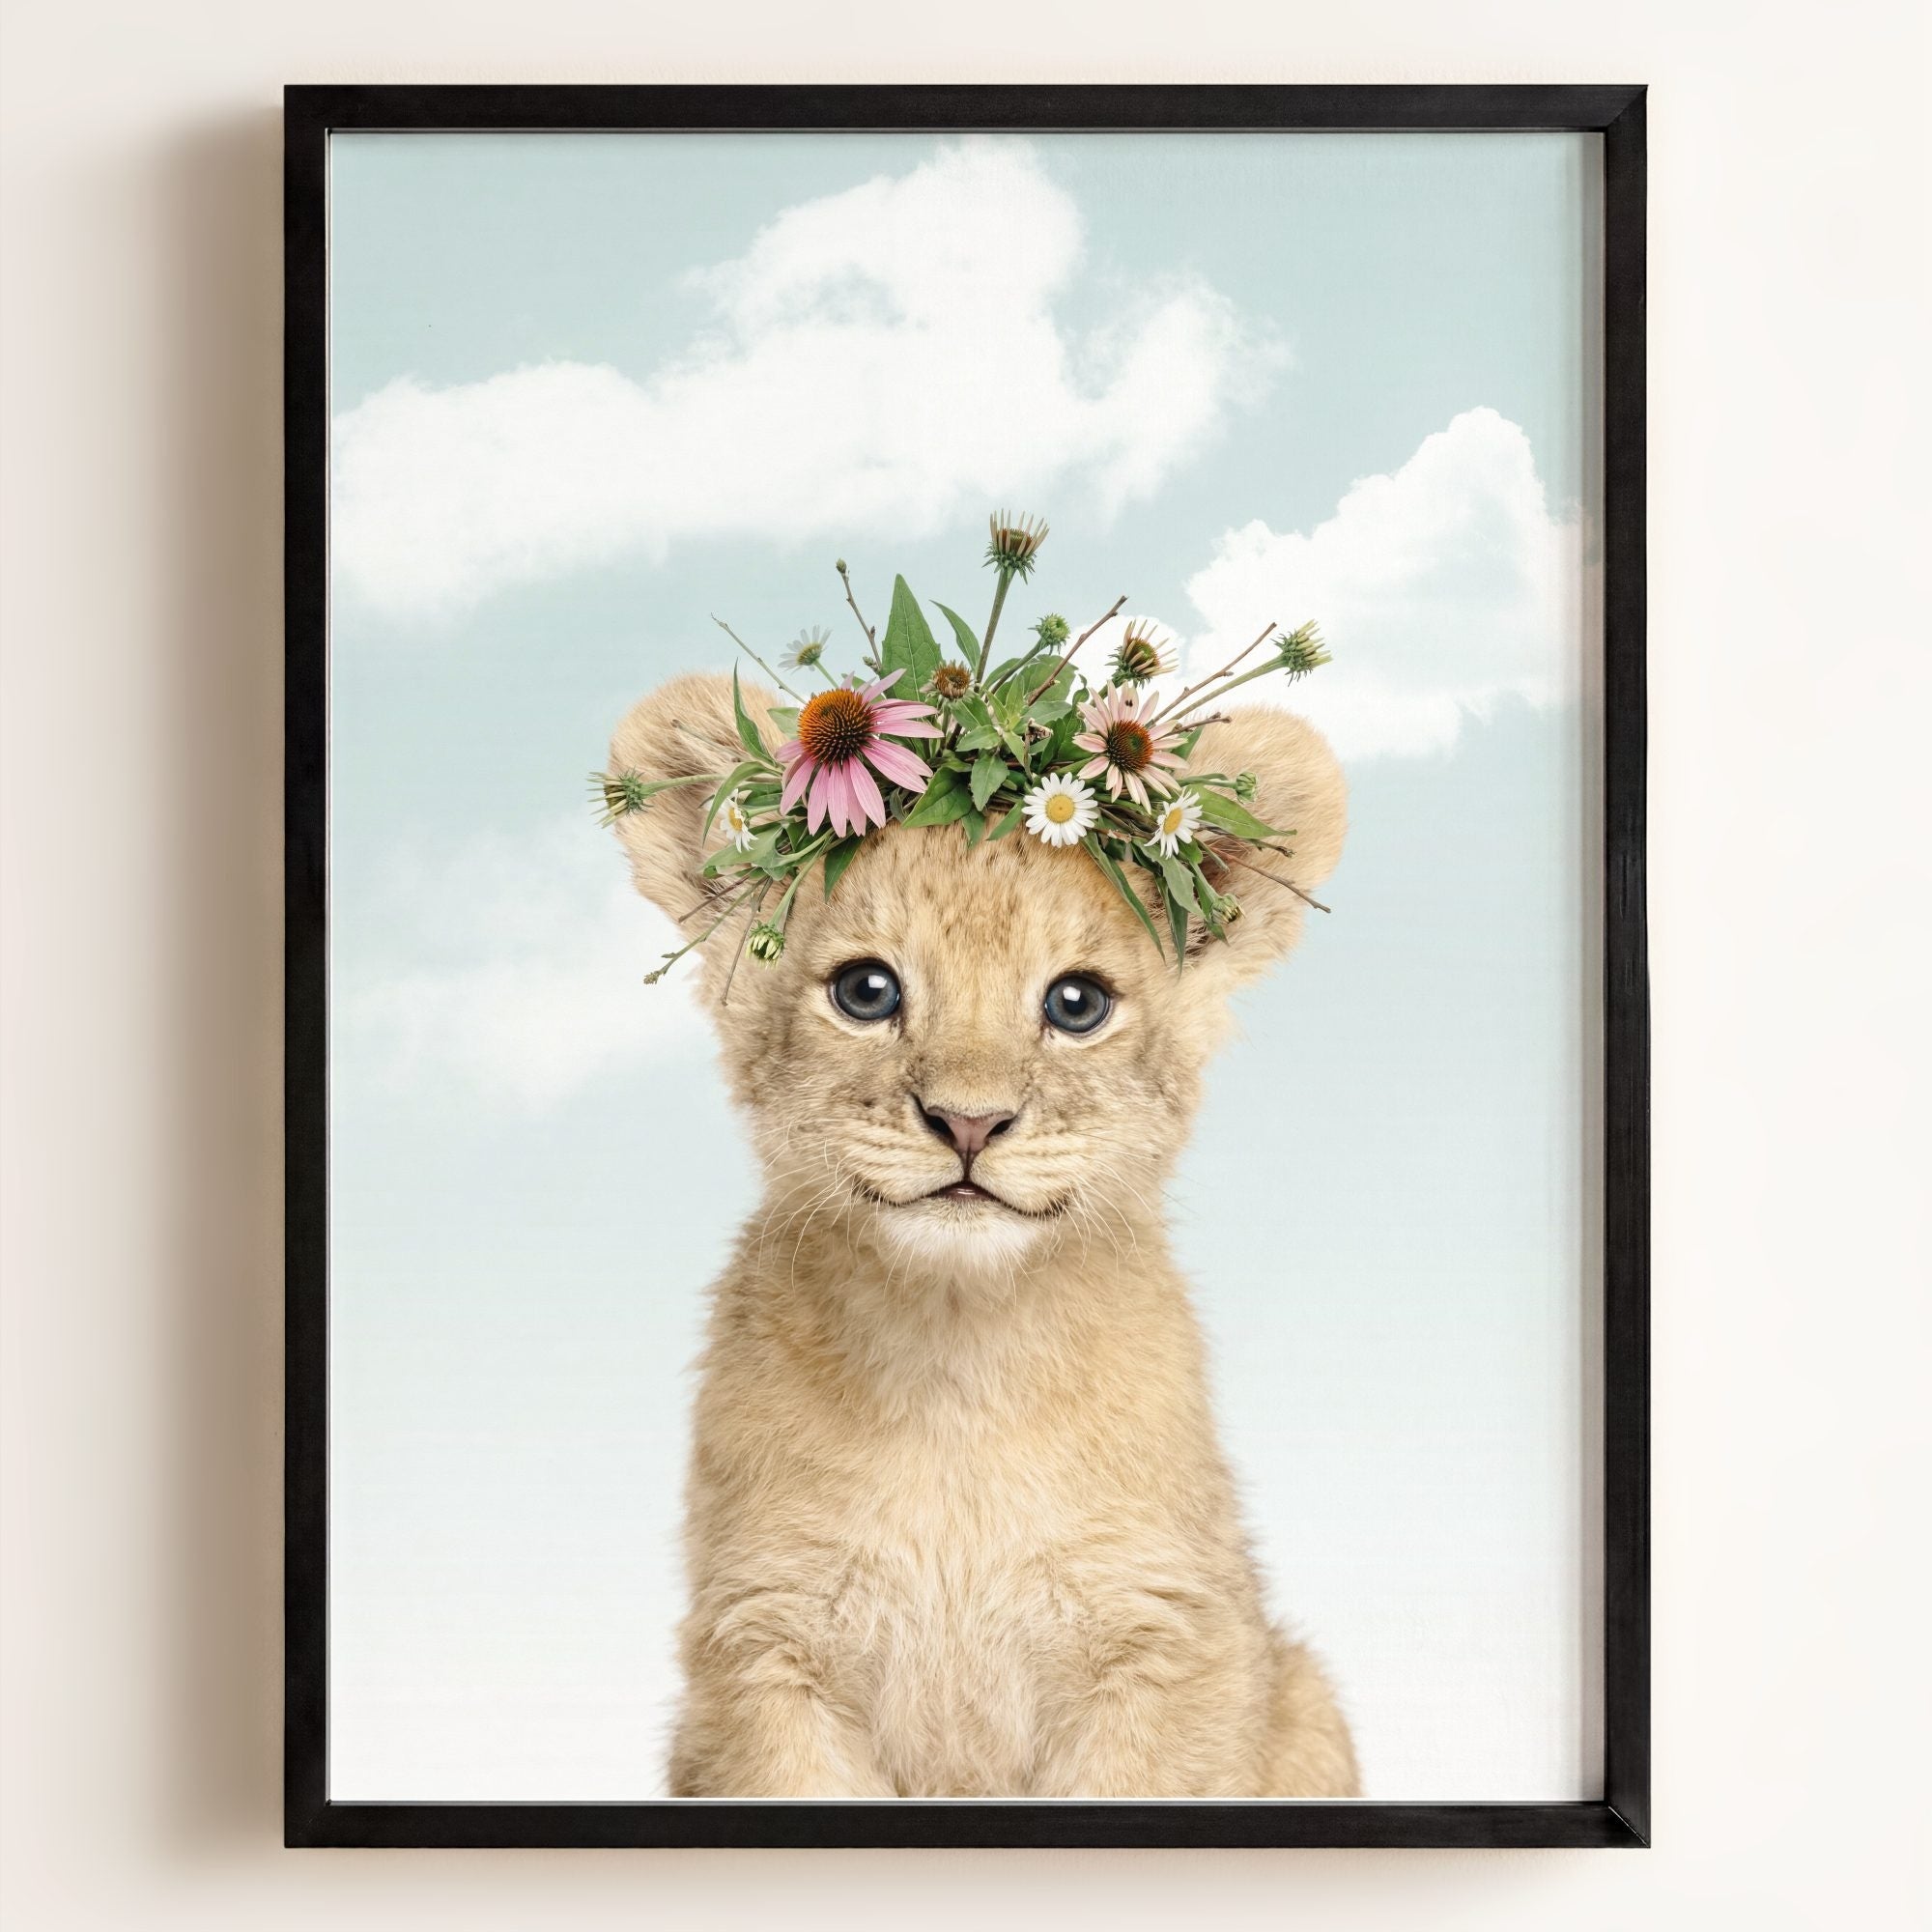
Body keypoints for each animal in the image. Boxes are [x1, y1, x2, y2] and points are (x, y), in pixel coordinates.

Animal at [606, 670, 1358, 1798]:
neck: (957, 1366)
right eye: (865, 990)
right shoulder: (764, 1648)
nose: (967, 1122)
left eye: (1077, 1002)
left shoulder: (1167, 1640)